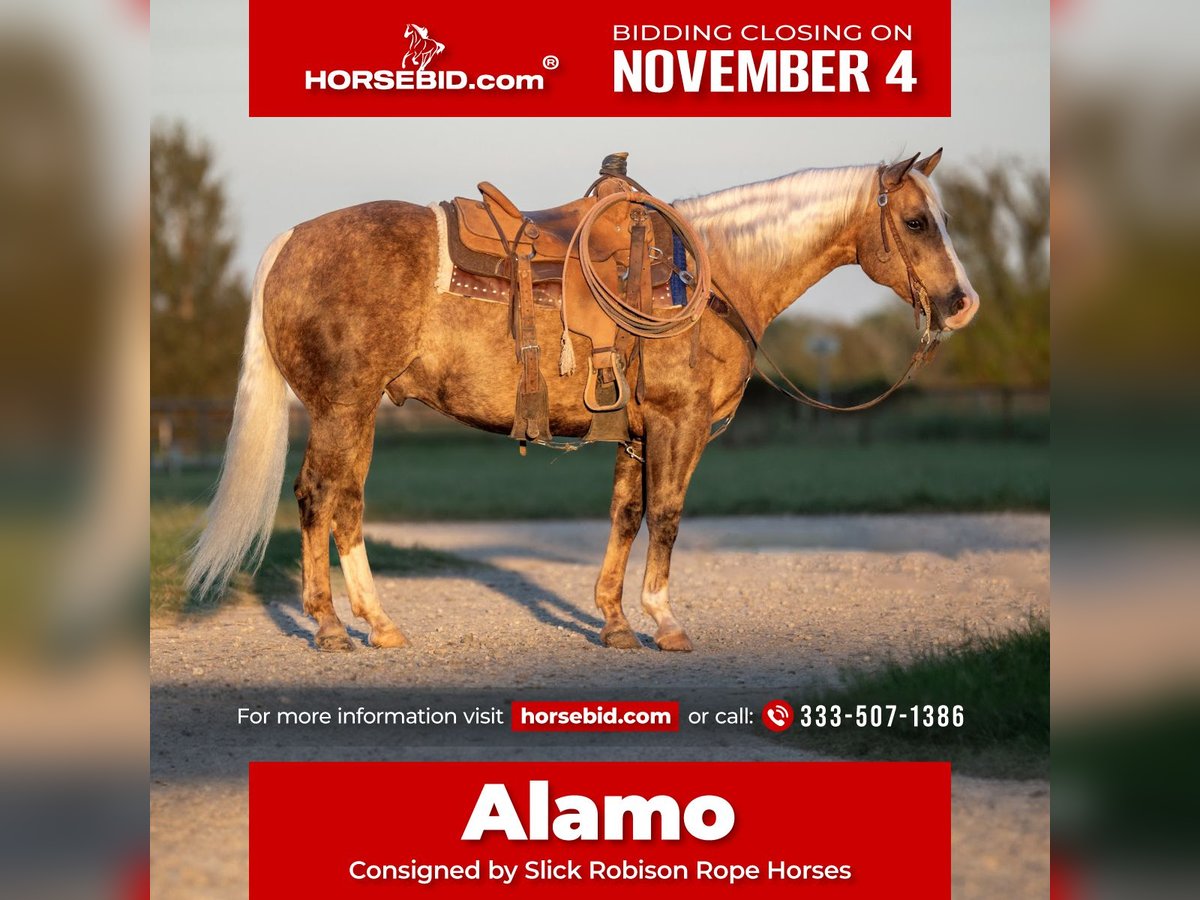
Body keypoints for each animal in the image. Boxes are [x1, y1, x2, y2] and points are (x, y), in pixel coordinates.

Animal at [184, 150, 974, 657]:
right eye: (916, 222)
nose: (961, 304)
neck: (710, 278)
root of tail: (291, 240)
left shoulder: (634, 432)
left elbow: (626, 515)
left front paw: (616, 623)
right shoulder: (679, 423)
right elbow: (667, 516)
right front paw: (664, 622)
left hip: (357, 412)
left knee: (344, 503)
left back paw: (377, 625)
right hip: (341, 408)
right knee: (319, 498)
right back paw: (327, 628)